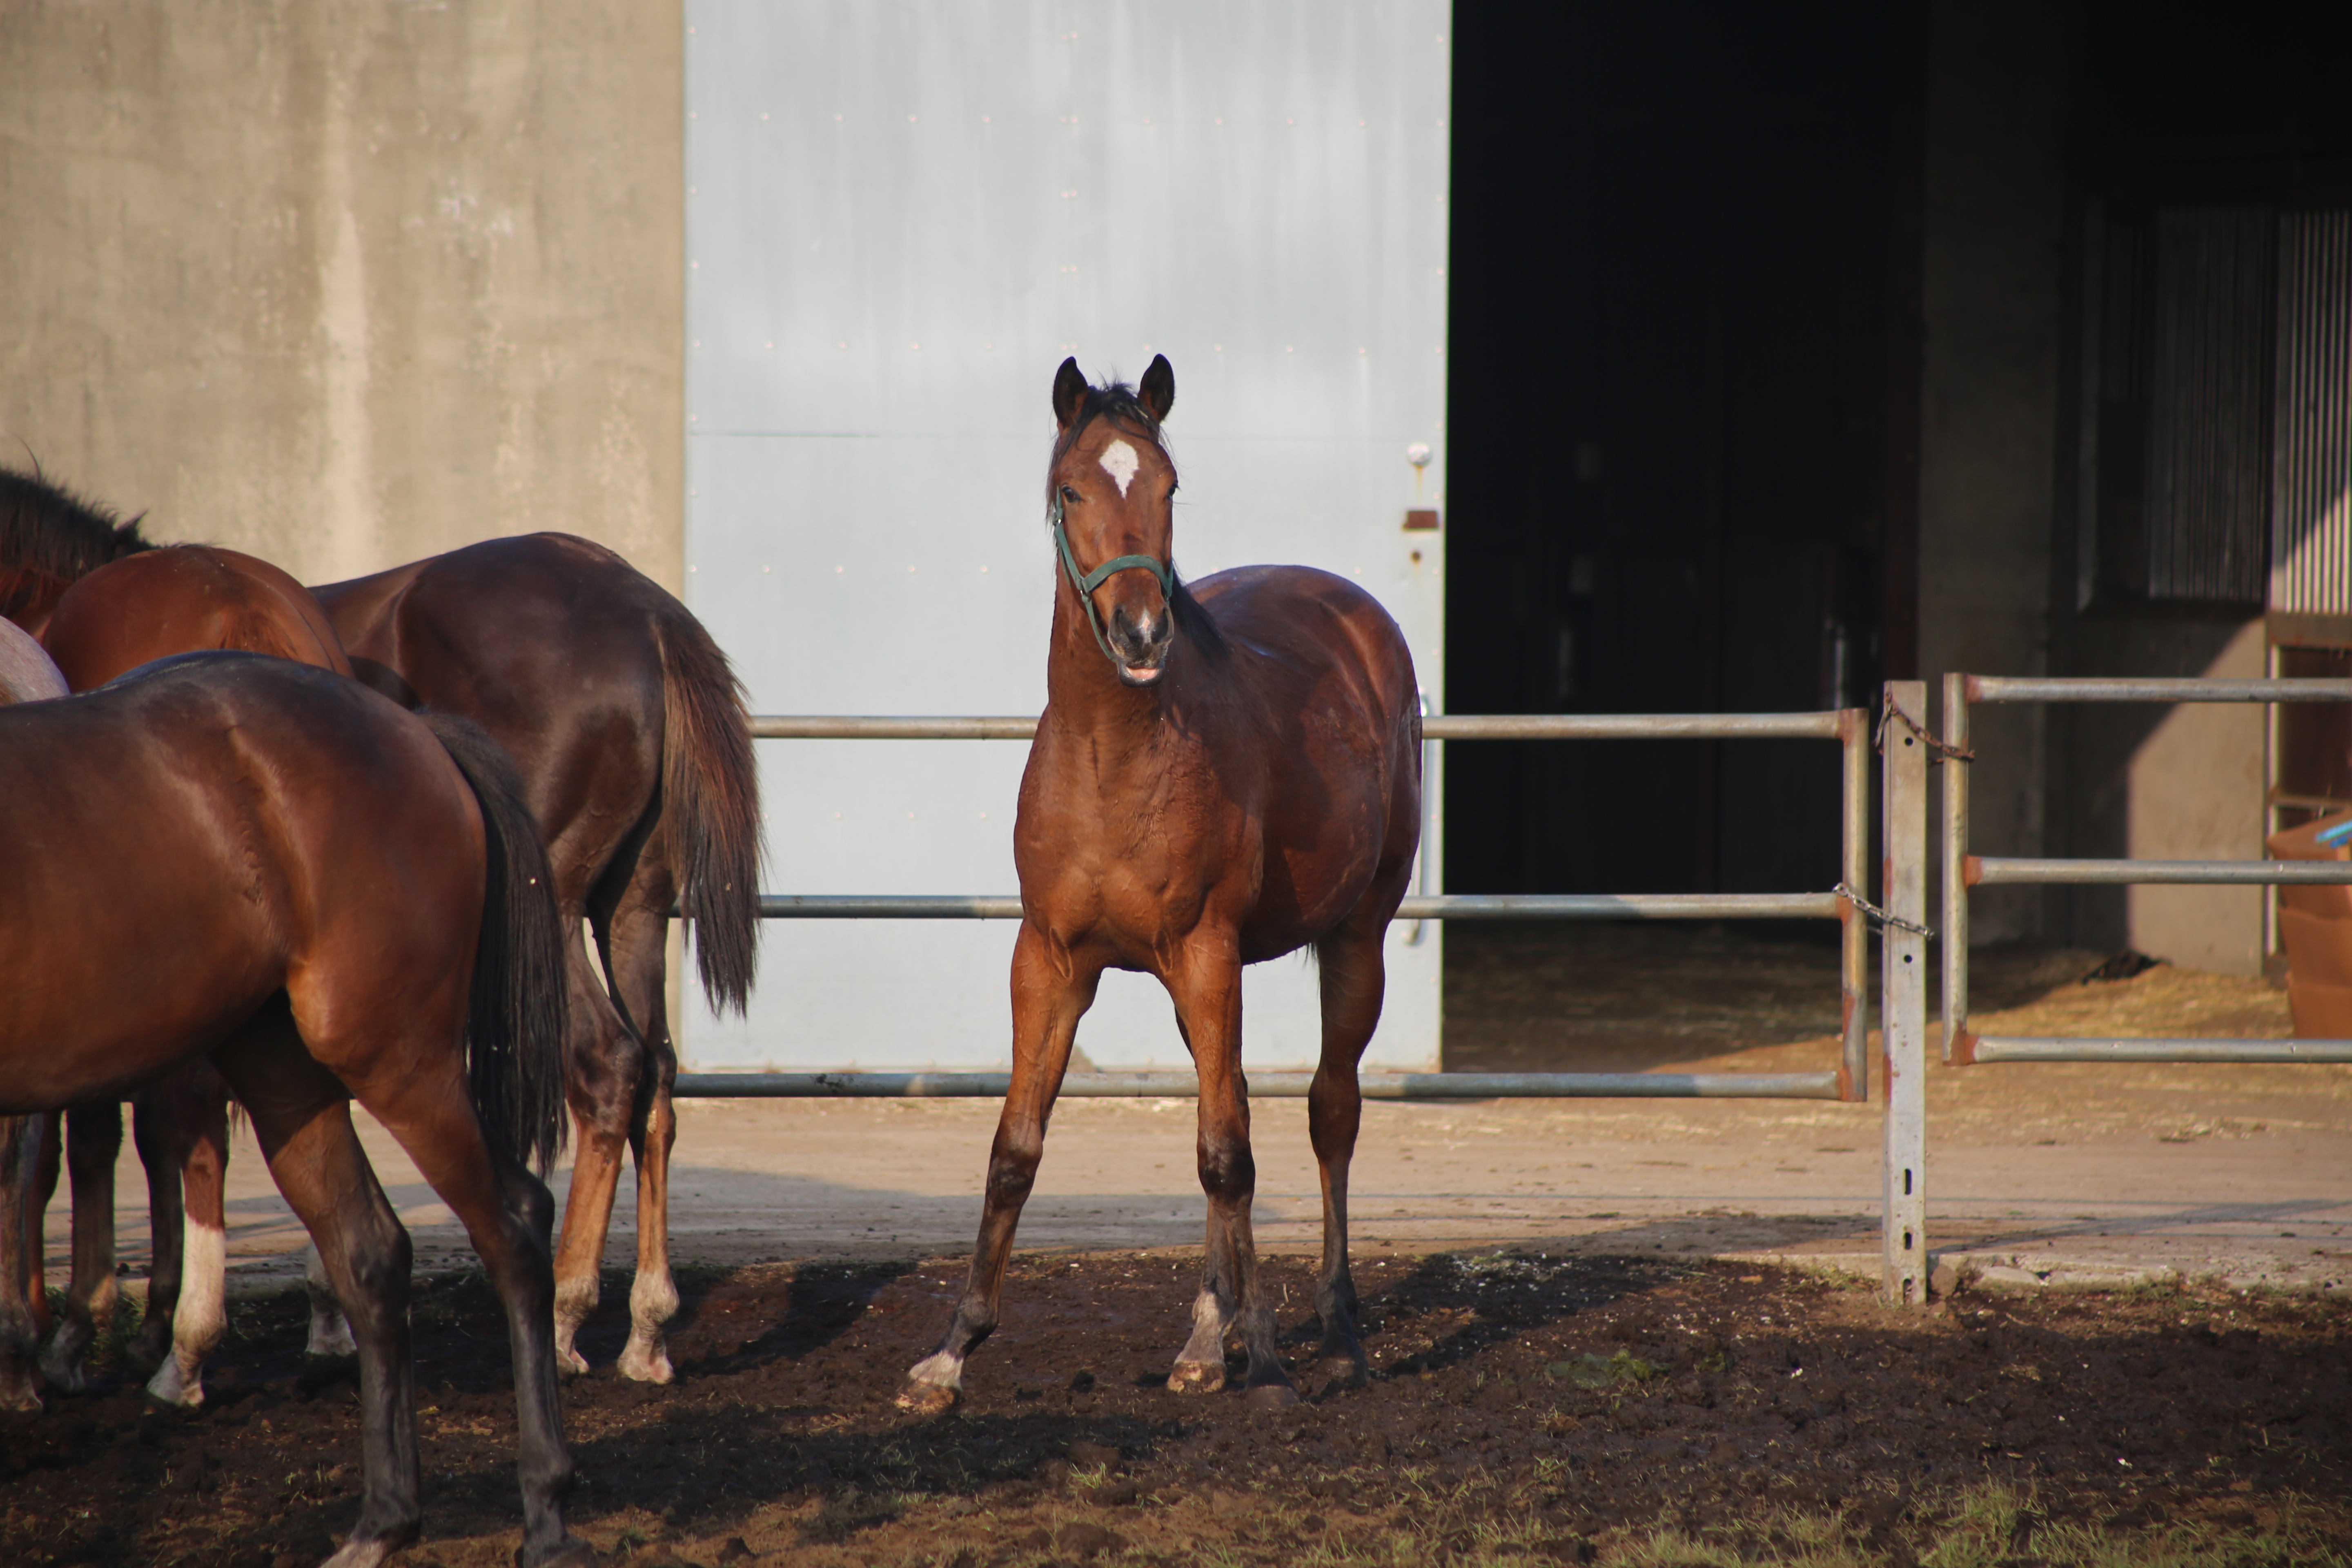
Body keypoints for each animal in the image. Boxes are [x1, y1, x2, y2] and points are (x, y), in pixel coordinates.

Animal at [0, 465, 757, 1382]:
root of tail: (646, 611)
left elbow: (97, 1136)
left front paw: (91, 1327)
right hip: (632, 908)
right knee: (656, 1076)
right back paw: (645, 1328)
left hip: (553, 905)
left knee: (606, 1065)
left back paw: (565, 1311)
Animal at [0, 658, 586, 1568]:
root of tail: (418, 734)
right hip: (287, 1079)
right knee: (373, 1253)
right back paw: (383, 1522)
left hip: (396, 1060)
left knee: (514, 1232)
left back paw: (547, 1514)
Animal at [893, 359, 1411, 1420]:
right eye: (1071, 490)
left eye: (1170, 487)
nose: (1139, 631)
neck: (1111, 755)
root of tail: (1360, 617)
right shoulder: (1049, 961)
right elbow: (1017, 1149)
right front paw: (951, 1353)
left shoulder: (1207, 951)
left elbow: (1230, 1156)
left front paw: (1270, 1365)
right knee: (1237, 1109)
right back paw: (1203, 1344)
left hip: (1357, 936)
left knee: (1327, 1113)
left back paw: (1336, 1334)